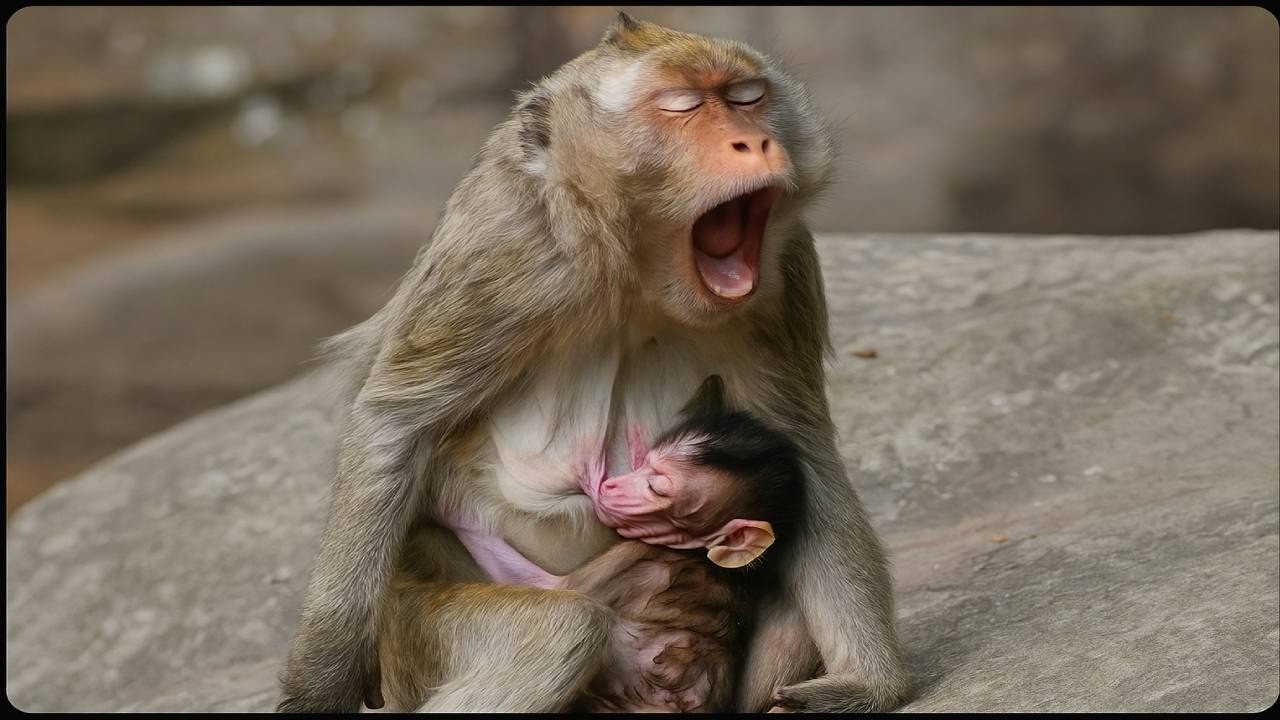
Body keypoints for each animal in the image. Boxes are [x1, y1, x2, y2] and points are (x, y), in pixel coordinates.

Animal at [438, 375, 806, 713]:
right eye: (645, 463)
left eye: (655, 488)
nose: (611, 486)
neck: (699, 555)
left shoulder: (636, 559)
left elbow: (553, 585)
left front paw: (448, 502)